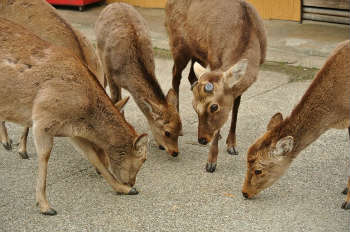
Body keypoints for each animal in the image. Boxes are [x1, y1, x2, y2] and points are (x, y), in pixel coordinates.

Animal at [0, 18, 148, 216]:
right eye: (144, 159)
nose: (131, 182)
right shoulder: (43, 118)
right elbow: (44, 156)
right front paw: (45, 206)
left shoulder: (71, 131)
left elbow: (92, 156)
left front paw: (123, 189)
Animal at [95, 2, 183, 157]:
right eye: (167, 132)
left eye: (180, 128)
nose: (175, 152)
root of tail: (114, 4)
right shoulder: (111, 75)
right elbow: (116, 101)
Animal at [165, 0, 266, 172]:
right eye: (194, 106)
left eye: (213, 107)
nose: (202, 139)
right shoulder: (213, 58)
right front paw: (211, 162)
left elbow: (236, 108)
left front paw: (231, 145)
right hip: (178, 44)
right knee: (175, 75)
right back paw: (179, 124)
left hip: (197, 51)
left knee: (191, 76)